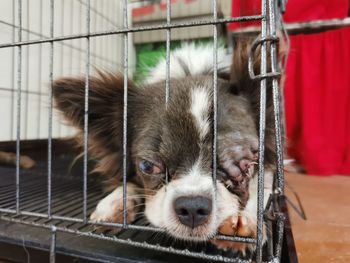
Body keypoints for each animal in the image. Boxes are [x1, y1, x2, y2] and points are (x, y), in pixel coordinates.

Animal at [52, 40, 278, 255]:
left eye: (244, 163)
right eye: (147, 166)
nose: (193, 206)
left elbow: (261, 184)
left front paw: (247, 218)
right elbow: (127, 181)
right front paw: (114, 202)